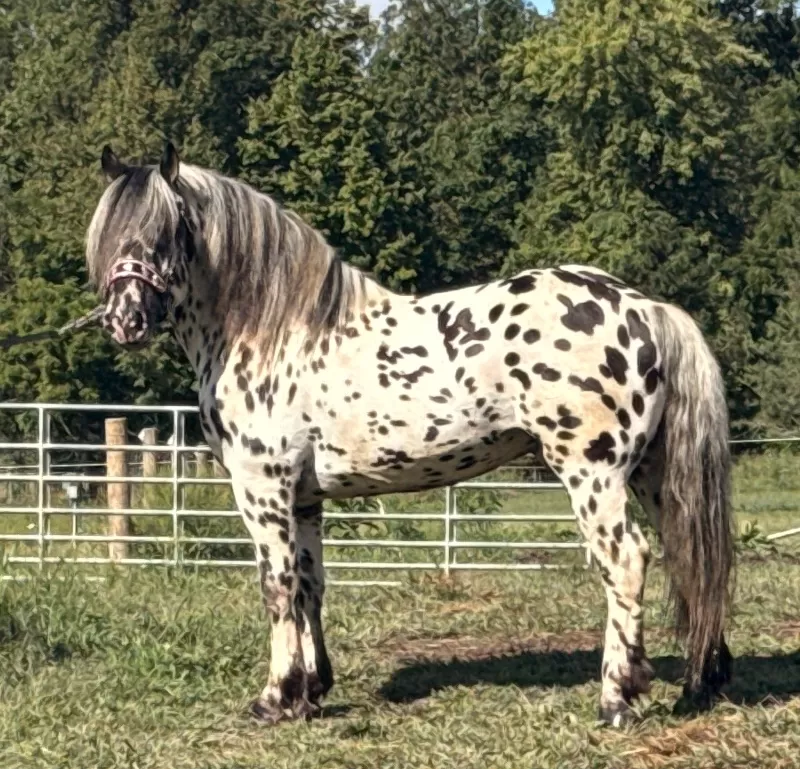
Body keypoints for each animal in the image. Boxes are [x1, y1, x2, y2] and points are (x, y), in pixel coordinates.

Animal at [85, 141, 734, 727]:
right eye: (111, 234)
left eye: (167, 231)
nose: (124, 320)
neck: (271, 331)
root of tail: (645, 307)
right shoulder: (305, 497)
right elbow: (310, 585)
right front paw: (311, 692)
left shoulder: (262, 489)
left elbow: (277, 586)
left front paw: (274, 699)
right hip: (650, 474)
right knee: (687, 556)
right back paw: (700, 682)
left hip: (592, 474)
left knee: (625, 562)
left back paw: (616, 698)